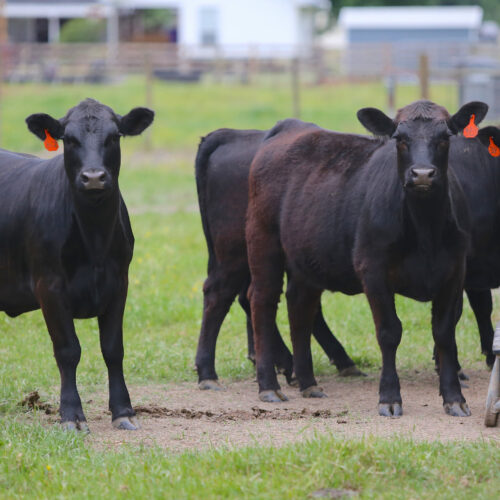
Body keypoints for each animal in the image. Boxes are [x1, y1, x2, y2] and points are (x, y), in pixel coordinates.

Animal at [0, 97, 154, 430]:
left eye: (114, 136)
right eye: (68, 139)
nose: (93, 176)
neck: (94, 240)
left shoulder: (118, 284)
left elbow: (113, 349)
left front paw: (123, 410)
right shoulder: (49, 287)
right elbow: (68, 350)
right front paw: (71, 414)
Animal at [247, 99, 488, 416]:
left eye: (445, 137)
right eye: (400, 139)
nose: (422, 174)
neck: (426, 230)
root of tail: (290, 127)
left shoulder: (454, 272)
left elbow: (445, 333)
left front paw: (454, 398)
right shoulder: (373, 270)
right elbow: (389, 332)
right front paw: (389, 397)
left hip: (306, 260)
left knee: (300, 308)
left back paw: (309, 383)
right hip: (263, 243)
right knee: (262, 303)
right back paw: (269, 386)